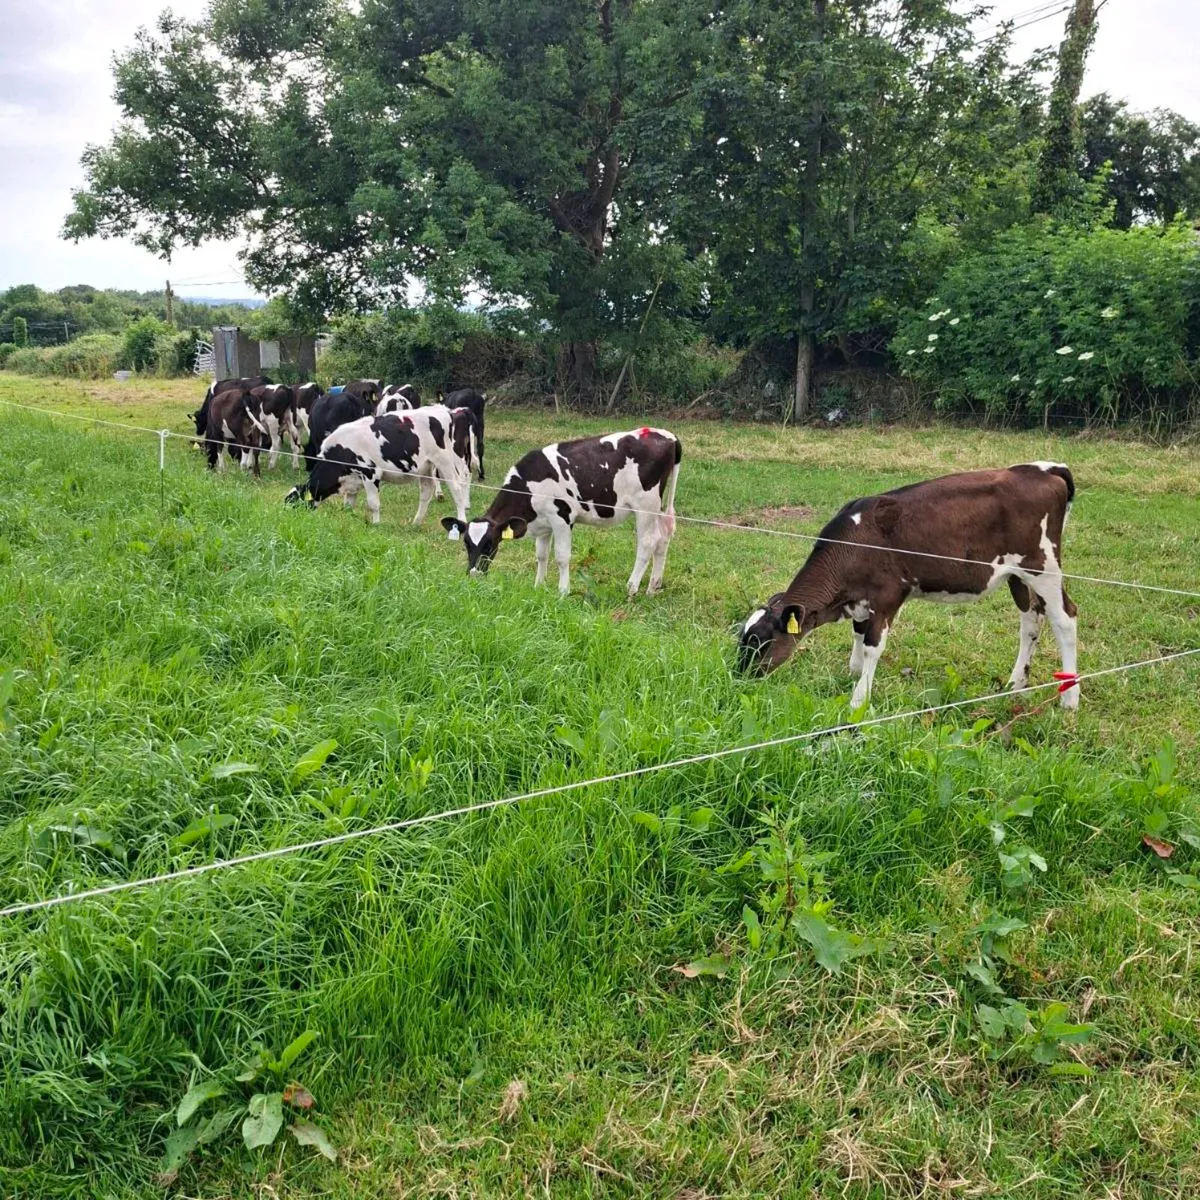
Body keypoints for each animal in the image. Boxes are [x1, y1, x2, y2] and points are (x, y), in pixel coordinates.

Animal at [286, 404, 478, 526]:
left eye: (293, 503)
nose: (288, 520)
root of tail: (448, 412)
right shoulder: (352, 480)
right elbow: (348, 504)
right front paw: (349, 519)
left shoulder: (370, 474)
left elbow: (373, 503)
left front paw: (376, 525)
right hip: (425, 467)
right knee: (426, 491)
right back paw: (416, 523)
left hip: (445, 461)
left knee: (456, 488)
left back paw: (461, 519)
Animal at [442, 427, 681, 598]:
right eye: (466, 543)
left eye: (490, 543)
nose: (473, 575)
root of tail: (669, 436)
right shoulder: (543, 525)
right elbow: (541, 555)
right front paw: (538, 586)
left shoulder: (562, 519)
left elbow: (562, 557)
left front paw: (563, 591)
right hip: (658, 507)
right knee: (663, 538)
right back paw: (653, 587)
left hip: (646, 505)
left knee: (648, 543)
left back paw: (631, 588)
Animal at [736, 463, 1080, 711]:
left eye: (759, 642)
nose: (739, 676)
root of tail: (1044, 469)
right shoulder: (861, 599)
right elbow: (858, 633)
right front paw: (852, 673)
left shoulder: (888, 595)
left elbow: (873, 645)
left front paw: (859, 698)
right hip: (1017, 575)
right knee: (1031, 621)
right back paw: (1015, 685)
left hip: (1043, 566)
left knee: (1066, 619)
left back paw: (1069, 699)